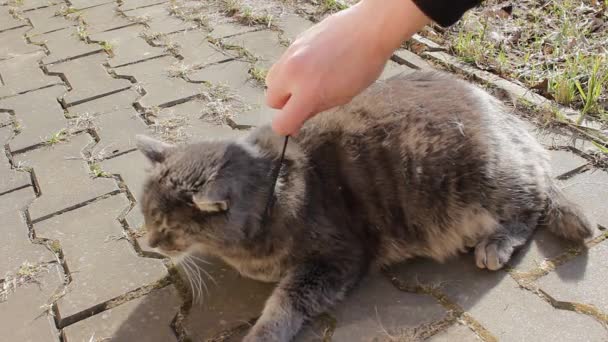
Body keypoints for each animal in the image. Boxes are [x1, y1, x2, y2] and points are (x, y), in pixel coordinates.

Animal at [135, 71, 592, 340]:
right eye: (145, 215)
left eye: (167, 226)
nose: (150, 243)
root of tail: (512, 120)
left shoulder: (336, 260)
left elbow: (285, 302)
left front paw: (263, 332)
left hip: (486, 179)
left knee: (532, 204)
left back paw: (496, 243)